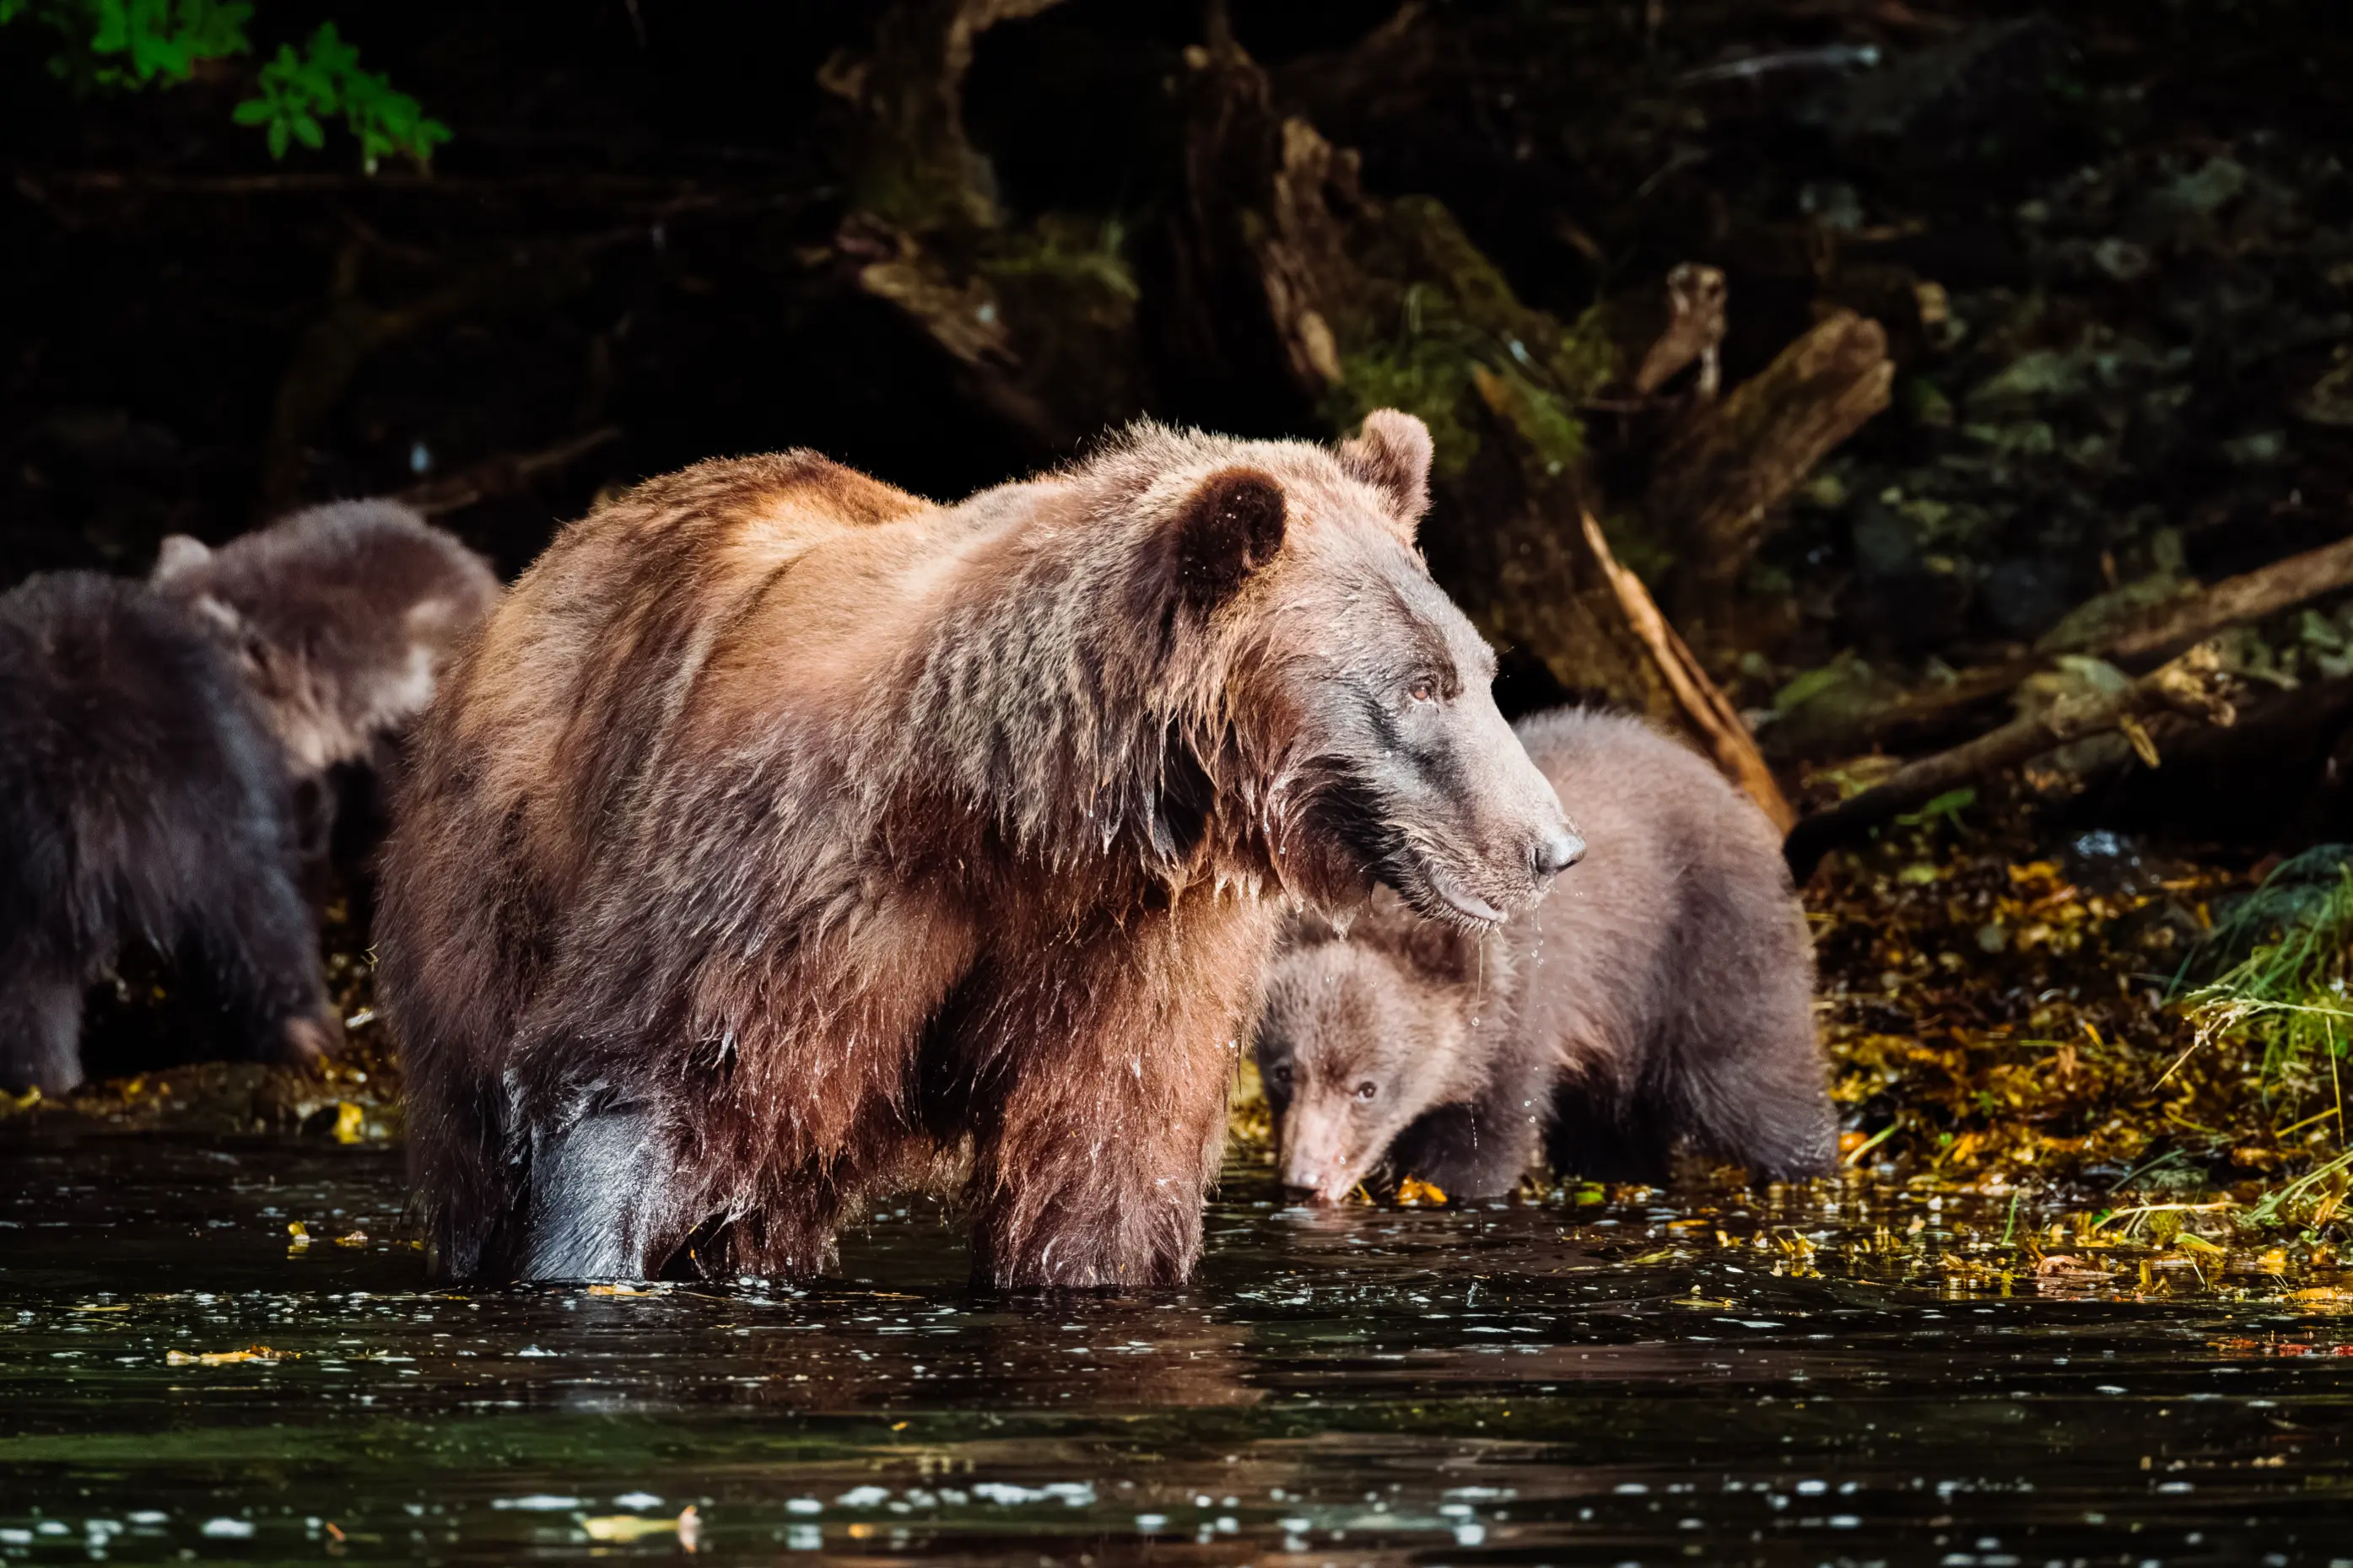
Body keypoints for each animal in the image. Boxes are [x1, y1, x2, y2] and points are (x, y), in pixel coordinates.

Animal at [375, 410, 1583, 1287]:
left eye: (1478, 668)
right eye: (1420, 686)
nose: (1550, 844)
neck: (1015, 804)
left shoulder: (1133, 932)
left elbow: (1103, 1158)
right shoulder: (793, 870)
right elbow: (648, 1081)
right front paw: (585, 1260)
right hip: (491, 878)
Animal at [1255, 706, 1833, 1203]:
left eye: (1367, 1088)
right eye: (1283, 1072)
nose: (1304, 1180)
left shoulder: (1518, 1018)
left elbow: (1481, 1150)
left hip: (1707, 944)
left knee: (1748, 1080)